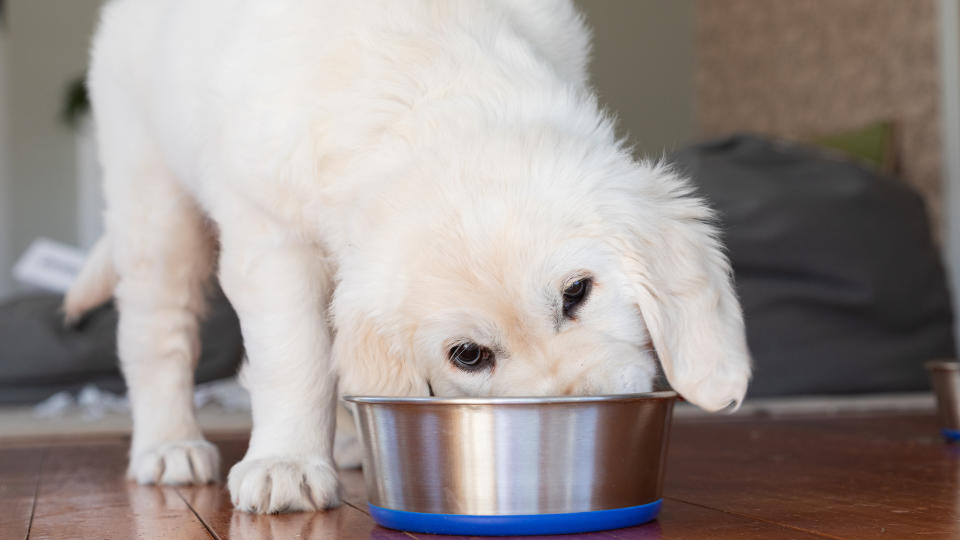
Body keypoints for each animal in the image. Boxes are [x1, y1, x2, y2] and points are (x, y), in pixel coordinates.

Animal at [67, 0, 752, 516]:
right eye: (468, 356)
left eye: (577, 292)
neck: (426, 87)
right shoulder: (270, 236)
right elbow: (294, 356)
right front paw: (286, 461)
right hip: (151, 200)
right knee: (157, 335)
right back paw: (168, 446)